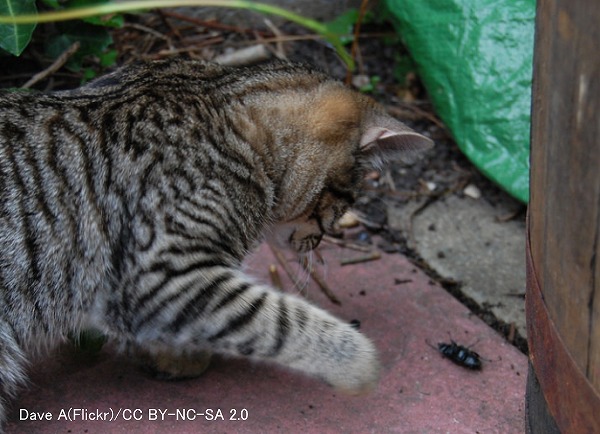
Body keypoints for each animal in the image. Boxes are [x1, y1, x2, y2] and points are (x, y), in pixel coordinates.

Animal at [0, 57, 432, 424]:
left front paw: (166, 356)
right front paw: (356, 362)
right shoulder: (160, 275)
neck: (218, 102)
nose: (318, 242)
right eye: (345, 202)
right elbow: (278, 318)